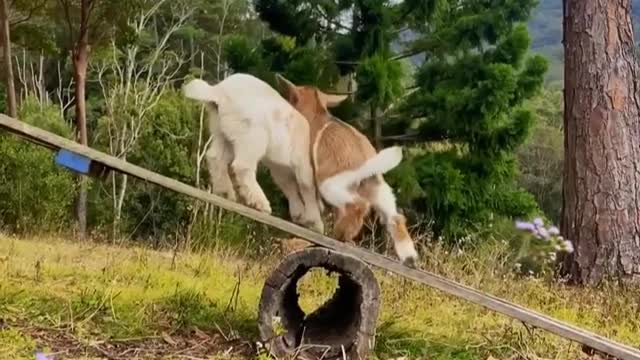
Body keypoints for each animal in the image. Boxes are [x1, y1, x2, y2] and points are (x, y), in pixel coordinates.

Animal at [276, 74, 420, 266]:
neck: (316, 114)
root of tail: (368, 160)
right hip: (380, 192)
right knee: (395, 218)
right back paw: (408, 258)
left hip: (333, 185)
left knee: (357, 206)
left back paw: (339, 236)